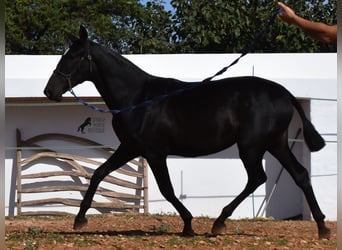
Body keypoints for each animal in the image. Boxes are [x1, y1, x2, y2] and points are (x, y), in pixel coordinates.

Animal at [44, 25, 330, 238]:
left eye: (71, 57)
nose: (49, 91)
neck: (138, 98)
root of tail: (284, 93)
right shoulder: (130, 148)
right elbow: (98, 173)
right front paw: (79, 220)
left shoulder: (154, 153)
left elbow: (167, 189)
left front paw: (189, 224)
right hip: (276, 143)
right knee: (300, 175)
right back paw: (322, 227)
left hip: (251, 146)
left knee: (257, 178)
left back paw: (219, 223)